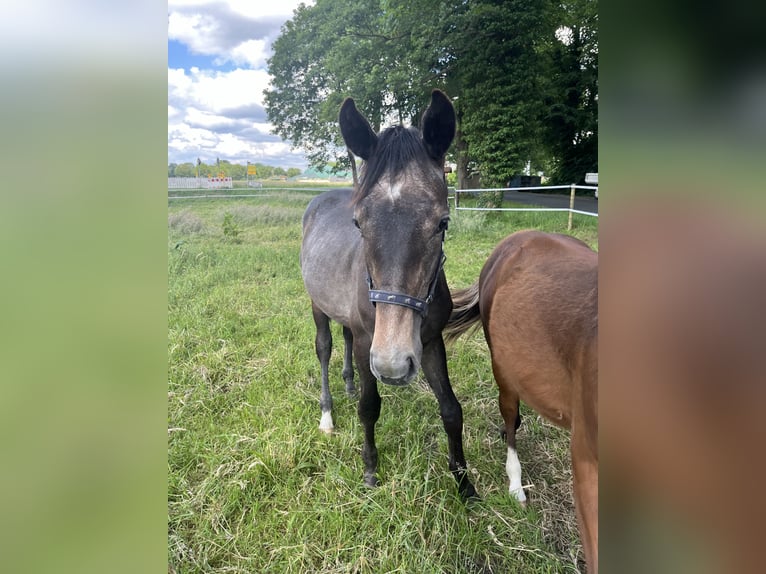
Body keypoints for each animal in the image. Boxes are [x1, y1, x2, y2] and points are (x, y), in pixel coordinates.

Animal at [302, 89, 476, 500]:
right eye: (359, 223)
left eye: (442, 222)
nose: (392, 366)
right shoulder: (371, 342)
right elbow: (370, 408)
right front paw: (369, 470)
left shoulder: (429, 342)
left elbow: (451, 409)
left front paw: (464, 483)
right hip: (318, 307)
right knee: (325, 348)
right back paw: (328, 414)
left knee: (345, 339)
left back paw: (348, 384)